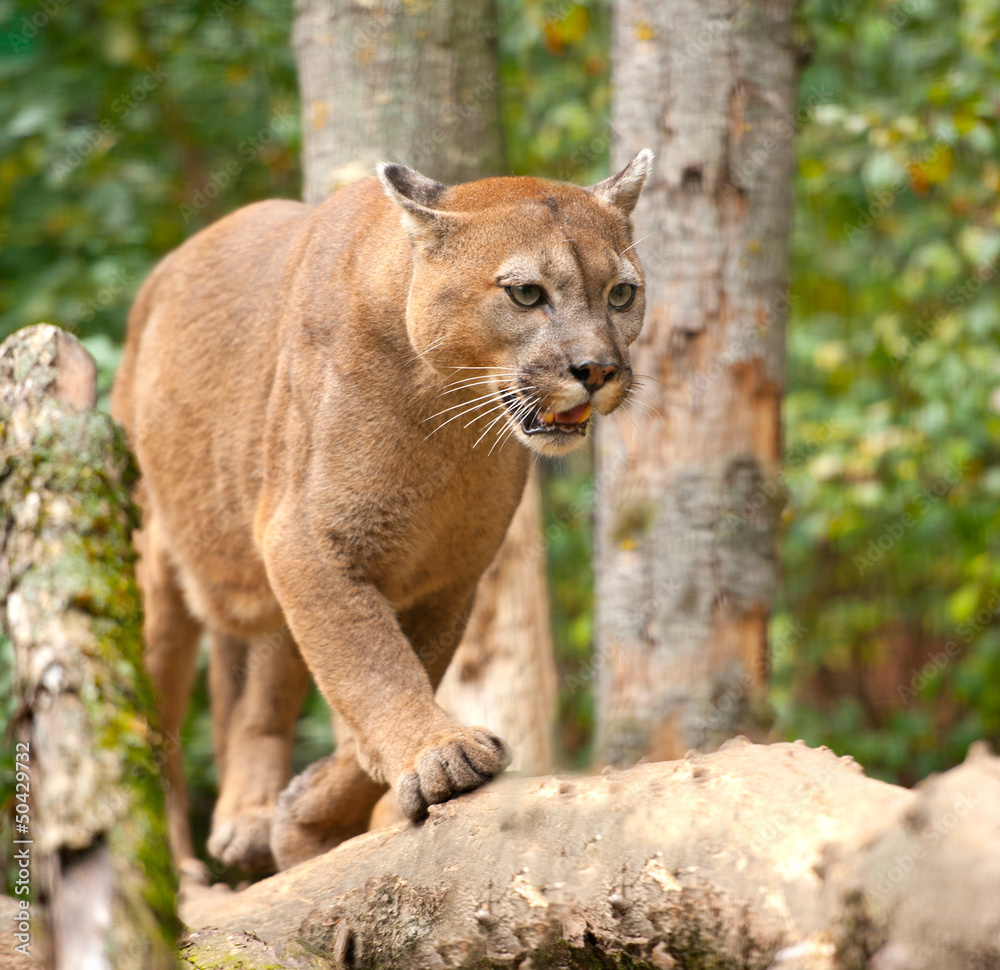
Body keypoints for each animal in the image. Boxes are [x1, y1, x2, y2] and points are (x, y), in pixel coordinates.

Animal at [111, 149, 656, 876]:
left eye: (621, 294)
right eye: (526, 294)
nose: (597, 369)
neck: (445, 415)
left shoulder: (447, 576)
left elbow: (396, 668)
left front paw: (311, 814)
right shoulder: (307, 541)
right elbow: (371, 665)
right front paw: (436, 755)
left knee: (258, 699)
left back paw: (249, 818)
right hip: (152, 570)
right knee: (146, 719)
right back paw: (172, 869)